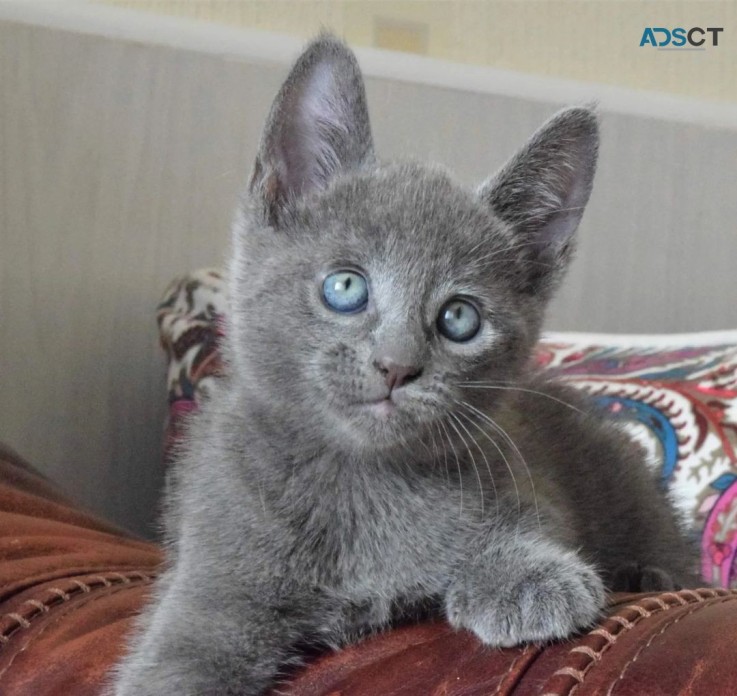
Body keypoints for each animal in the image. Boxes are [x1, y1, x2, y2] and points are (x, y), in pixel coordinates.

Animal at [109, 36, 696, 696]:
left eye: (460, 318)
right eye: (345, 286)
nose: (395, 366)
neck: (359, 486)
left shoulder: (520, 475)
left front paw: (530, 576)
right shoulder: (208, 587)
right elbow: (177, 663)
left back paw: (650, 575)